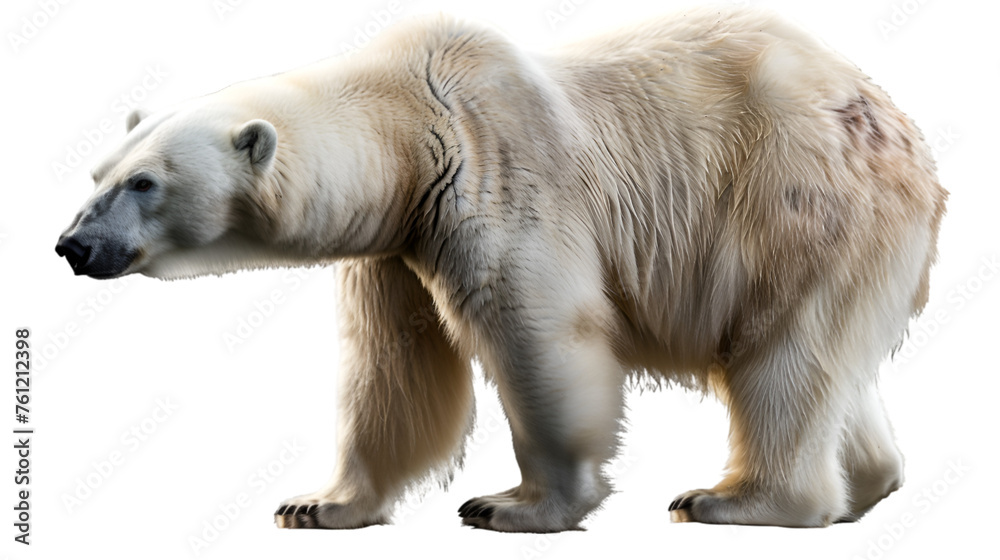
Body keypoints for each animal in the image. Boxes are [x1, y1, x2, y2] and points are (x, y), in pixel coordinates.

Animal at [55, 7, 946, 532]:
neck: (410, 120)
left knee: (781, 354)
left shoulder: (493, 174)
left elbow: (539, 333)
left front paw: (514, 504)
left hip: (792, 203)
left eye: (145, 183)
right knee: (829, 362)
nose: (71, 246)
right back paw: (866, 485)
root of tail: (898, 127)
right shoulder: (399, 243)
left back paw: (735, 498)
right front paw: (318, 504)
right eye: (97, 172)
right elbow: (396, 369)